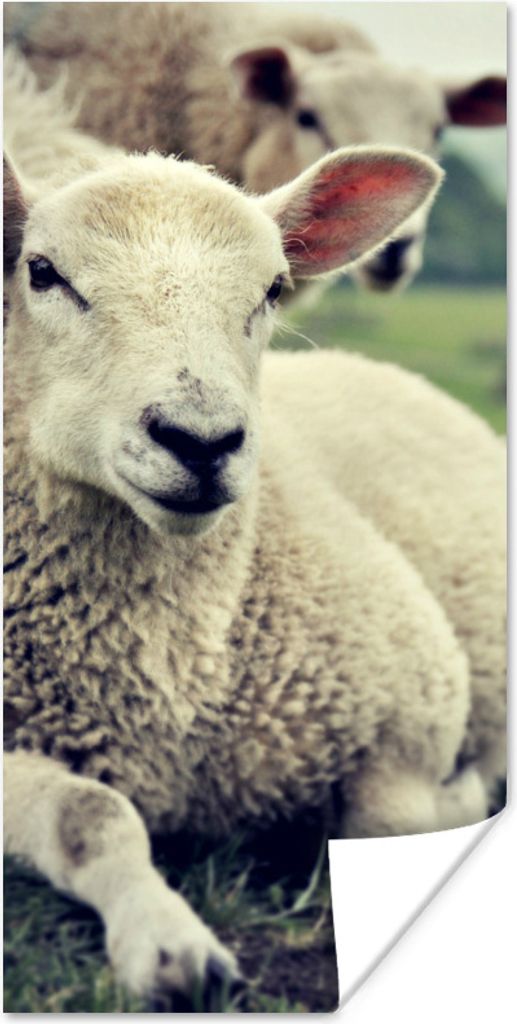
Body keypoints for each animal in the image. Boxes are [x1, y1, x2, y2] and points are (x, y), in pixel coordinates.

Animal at [4, 59, 504, 1005]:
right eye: (42, 272)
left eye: (271, 289)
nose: (201, 441)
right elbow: (93, 814)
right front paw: (170, 947)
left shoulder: (412, 708)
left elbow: (388, 823)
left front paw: (462, 801)